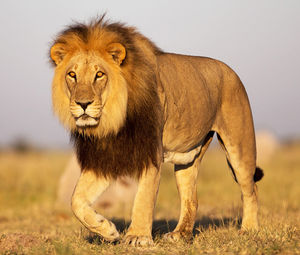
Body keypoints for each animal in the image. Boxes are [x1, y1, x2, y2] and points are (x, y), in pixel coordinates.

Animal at [49, 16, 262, 246]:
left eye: (99, 75)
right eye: (72, 75)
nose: (83, 104)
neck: (114, 119)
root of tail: (231, 71)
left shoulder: (151, 150)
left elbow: (144, 197)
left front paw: (137, 237)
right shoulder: (104, 157)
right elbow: (75, 200)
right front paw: (106, 229)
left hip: (240, 146)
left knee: (250, 188)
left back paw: (249, 230)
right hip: (188, 158)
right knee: (191, 197)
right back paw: (180, 234)